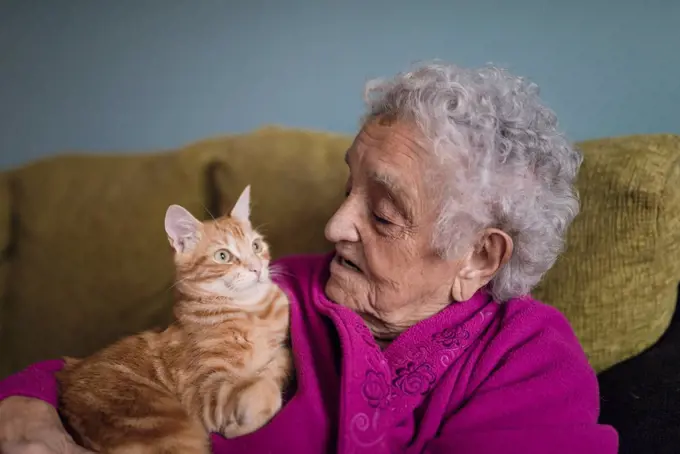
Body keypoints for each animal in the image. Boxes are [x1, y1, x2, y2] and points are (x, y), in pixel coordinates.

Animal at [55, 186, 292, 452]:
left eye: (256, 246)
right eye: (223, 256)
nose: (257, 268)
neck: (253, 311)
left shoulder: (278, 350)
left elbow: (281, 361)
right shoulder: (203, 393)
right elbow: (265, 391)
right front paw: (239, 426)